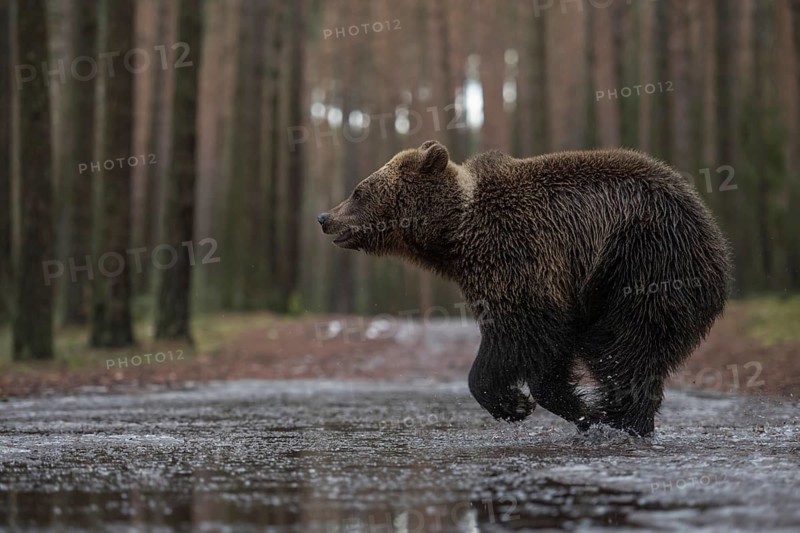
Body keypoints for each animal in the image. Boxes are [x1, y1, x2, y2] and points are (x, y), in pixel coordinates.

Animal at [318, 140, 732, 436]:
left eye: (358, 191)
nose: (324, 217)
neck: (453, 237)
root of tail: (715, 238)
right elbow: (550, 354)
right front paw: (572, 407)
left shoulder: (516, 254)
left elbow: (521, 329)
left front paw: (514, 404)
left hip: (643, 261)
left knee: (623, 346)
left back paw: (621, 420)